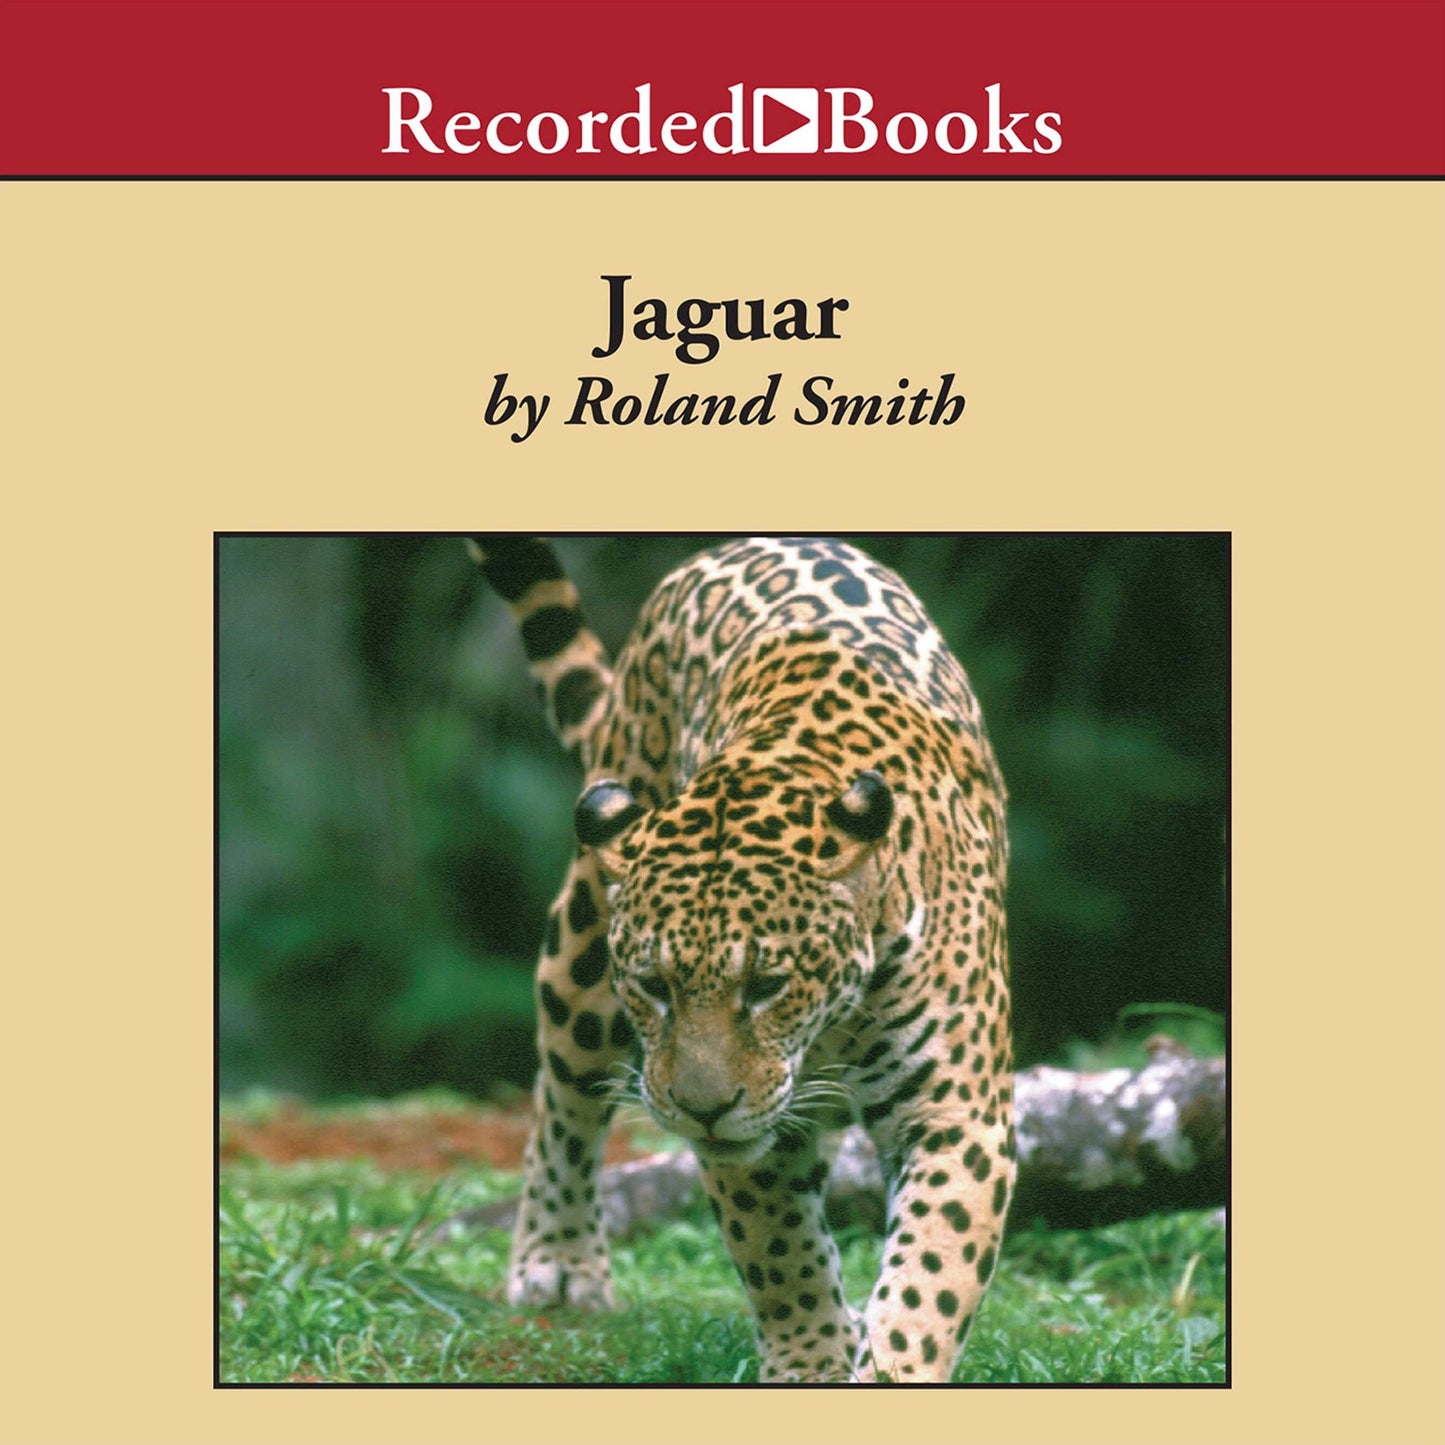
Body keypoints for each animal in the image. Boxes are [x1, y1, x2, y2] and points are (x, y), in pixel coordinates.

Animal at [469, 535, 1014, 1383]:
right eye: (654, 985)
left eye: (766, 984)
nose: (701, 1106)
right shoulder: (749, 1136)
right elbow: (779, 1250)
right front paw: (810, 1361)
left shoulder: (954, 1111)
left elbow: (930, 1273)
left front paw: (885, 1359)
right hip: (583, 946)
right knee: (563, 1097)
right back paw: (558, 1260)